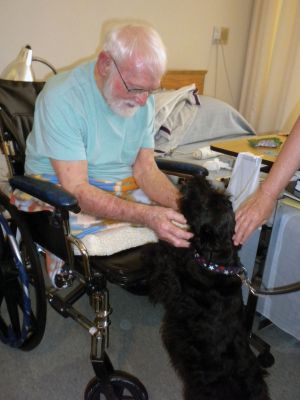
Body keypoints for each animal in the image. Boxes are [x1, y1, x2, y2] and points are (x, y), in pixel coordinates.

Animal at [144, 177, 270, 400]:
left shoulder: (174, 289)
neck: (215, 264)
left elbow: (165, 264)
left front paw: (156, 243)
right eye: (222, 198)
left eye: (205, 203)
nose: (192, 178)